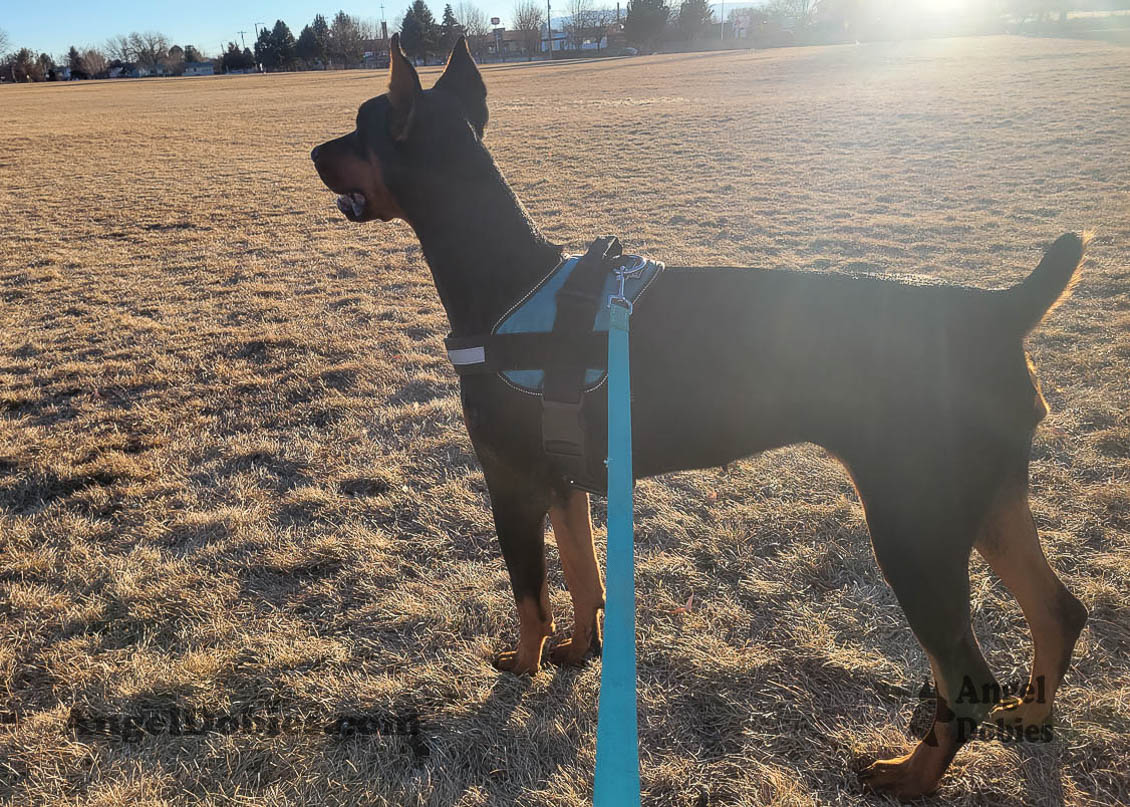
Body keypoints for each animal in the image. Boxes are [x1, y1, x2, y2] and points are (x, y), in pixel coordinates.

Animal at [314, 34, 1089, 795]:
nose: (314, 152)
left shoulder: (510, 483)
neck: (506, 284)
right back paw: (1031, 715)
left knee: (965, 674)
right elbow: (585, 576)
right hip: (984, 501)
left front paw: (523, 664)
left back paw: (910, 775)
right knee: (1059, 609)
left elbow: (530, 594)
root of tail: (997, 311)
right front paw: (579, 651)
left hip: (914, 526)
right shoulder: (565, 481)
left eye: (359, 126)